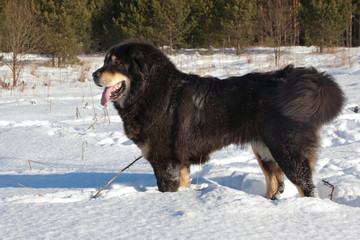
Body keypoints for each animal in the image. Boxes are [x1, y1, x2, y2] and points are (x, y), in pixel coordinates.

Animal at [92, 40, 344, 200]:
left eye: (117, 63)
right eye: (104, 61)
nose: (94, 74)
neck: (152, 91)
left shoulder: (164, 162)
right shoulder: (179, 162)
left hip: (288, 153)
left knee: (307, 188)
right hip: (264, 151)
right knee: (276, 185)